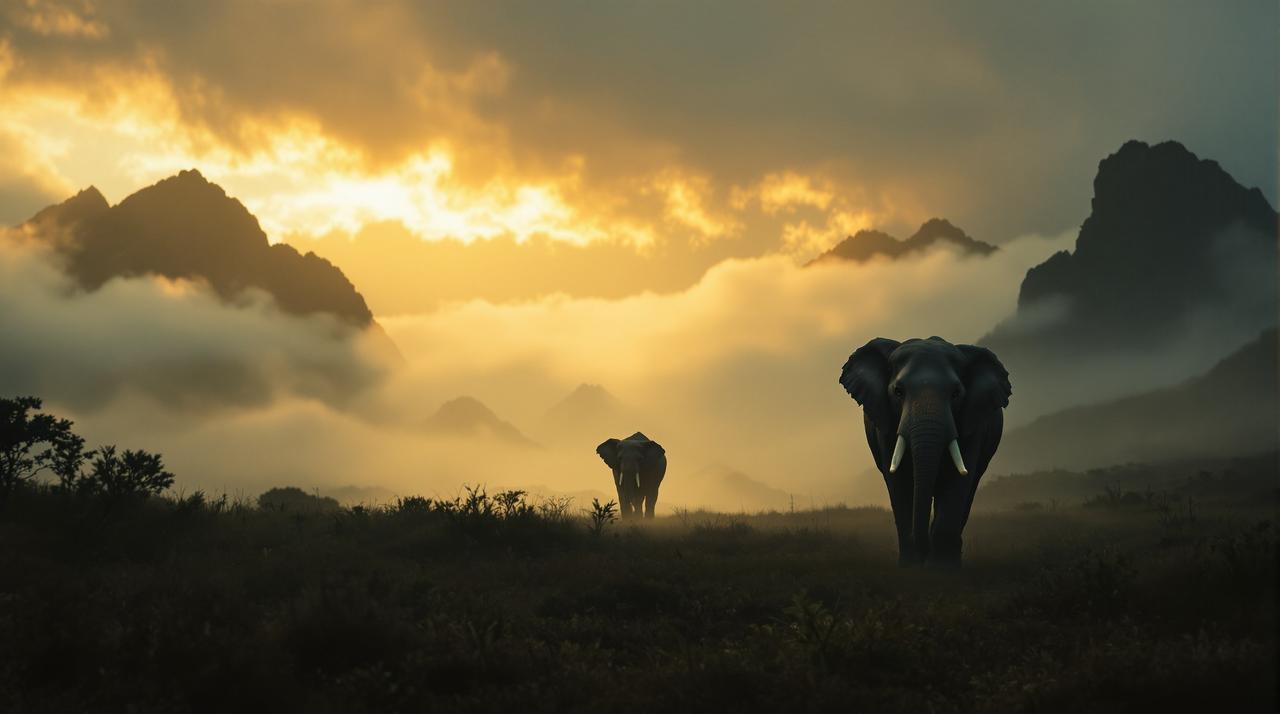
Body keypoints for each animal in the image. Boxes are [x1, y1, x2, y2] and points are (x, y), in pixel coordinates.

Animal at [840, 336, 1010, 566]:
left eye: (956, 393)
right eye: (898, 391)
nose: (924, 553)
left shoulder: (974, 424)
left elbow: (958, 482)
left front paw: (940, 568)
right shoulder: (884, 426)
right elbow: (899, 483)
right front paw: (911, 566)